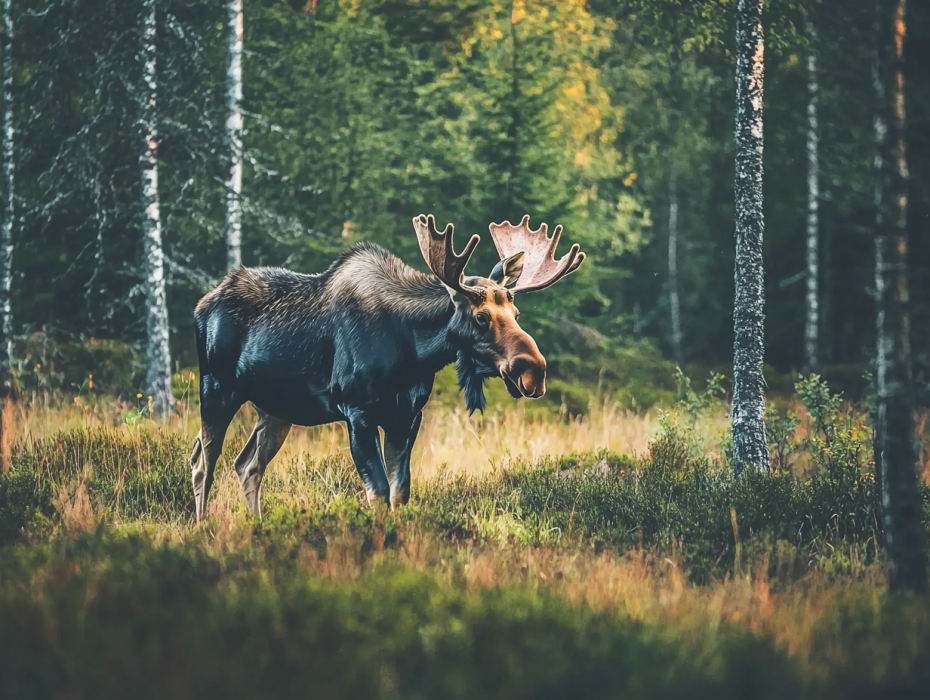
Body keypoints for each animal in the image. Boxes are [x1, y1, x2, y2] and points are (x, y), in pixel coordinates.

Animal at [189, 214, 585, 521]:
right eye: (481, 316)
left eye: (516, 312)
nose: (534, 371)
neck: (412, 352)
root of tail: (201, 303)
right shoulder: (356, 411)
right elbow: (377, 492)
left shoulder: (406, 416)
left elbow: (400, 492)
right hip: (217, 389)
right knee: (203, 462)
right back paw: (204, 527)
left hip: (276, 409)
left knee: (247, 465)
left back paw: (258, 526)